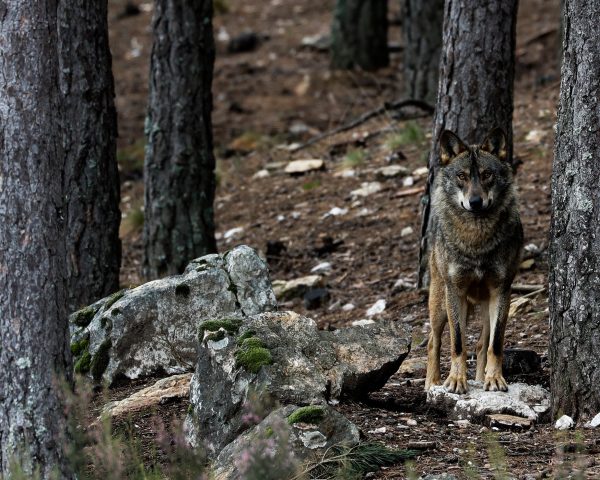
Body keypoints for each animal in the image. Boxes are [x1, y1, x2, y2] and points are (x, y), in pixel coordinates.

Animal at [424, 127, 524, 394]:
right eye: (462, 176)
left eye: (487, 174)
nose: (476, 202)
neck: (476, 239)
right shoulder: (455, 291)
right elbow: (458, 343)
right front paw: (456, 380)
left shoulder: (502, 291)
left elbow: (495, 345)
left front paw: (495, 379)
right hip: (440, 304)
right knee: (432, 341)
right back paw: (431, 383)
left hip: (485, 305)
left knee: (481, 344)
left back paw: (482, 378)